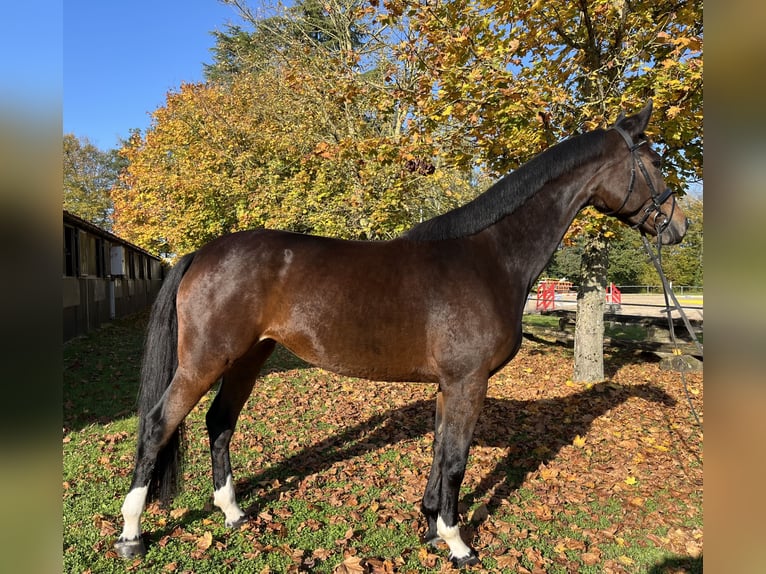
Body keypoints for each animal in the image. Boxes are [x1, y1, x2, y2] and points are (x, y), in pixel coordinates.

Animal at [112, 102, 688, 568]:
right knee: (159, 424)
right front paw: (457, 543)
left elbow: (440, 453)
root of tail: (201, 254)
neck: (491, 257)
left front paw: (431, 526)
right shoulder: (468, 382)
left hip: (249, 357)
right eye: (654, 161)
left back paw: (232, 512)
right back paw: (132, 534)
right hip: (206, 360)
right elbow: (456, 460)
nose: (677, 227)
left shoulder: (449, 386)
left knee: (220, 422)